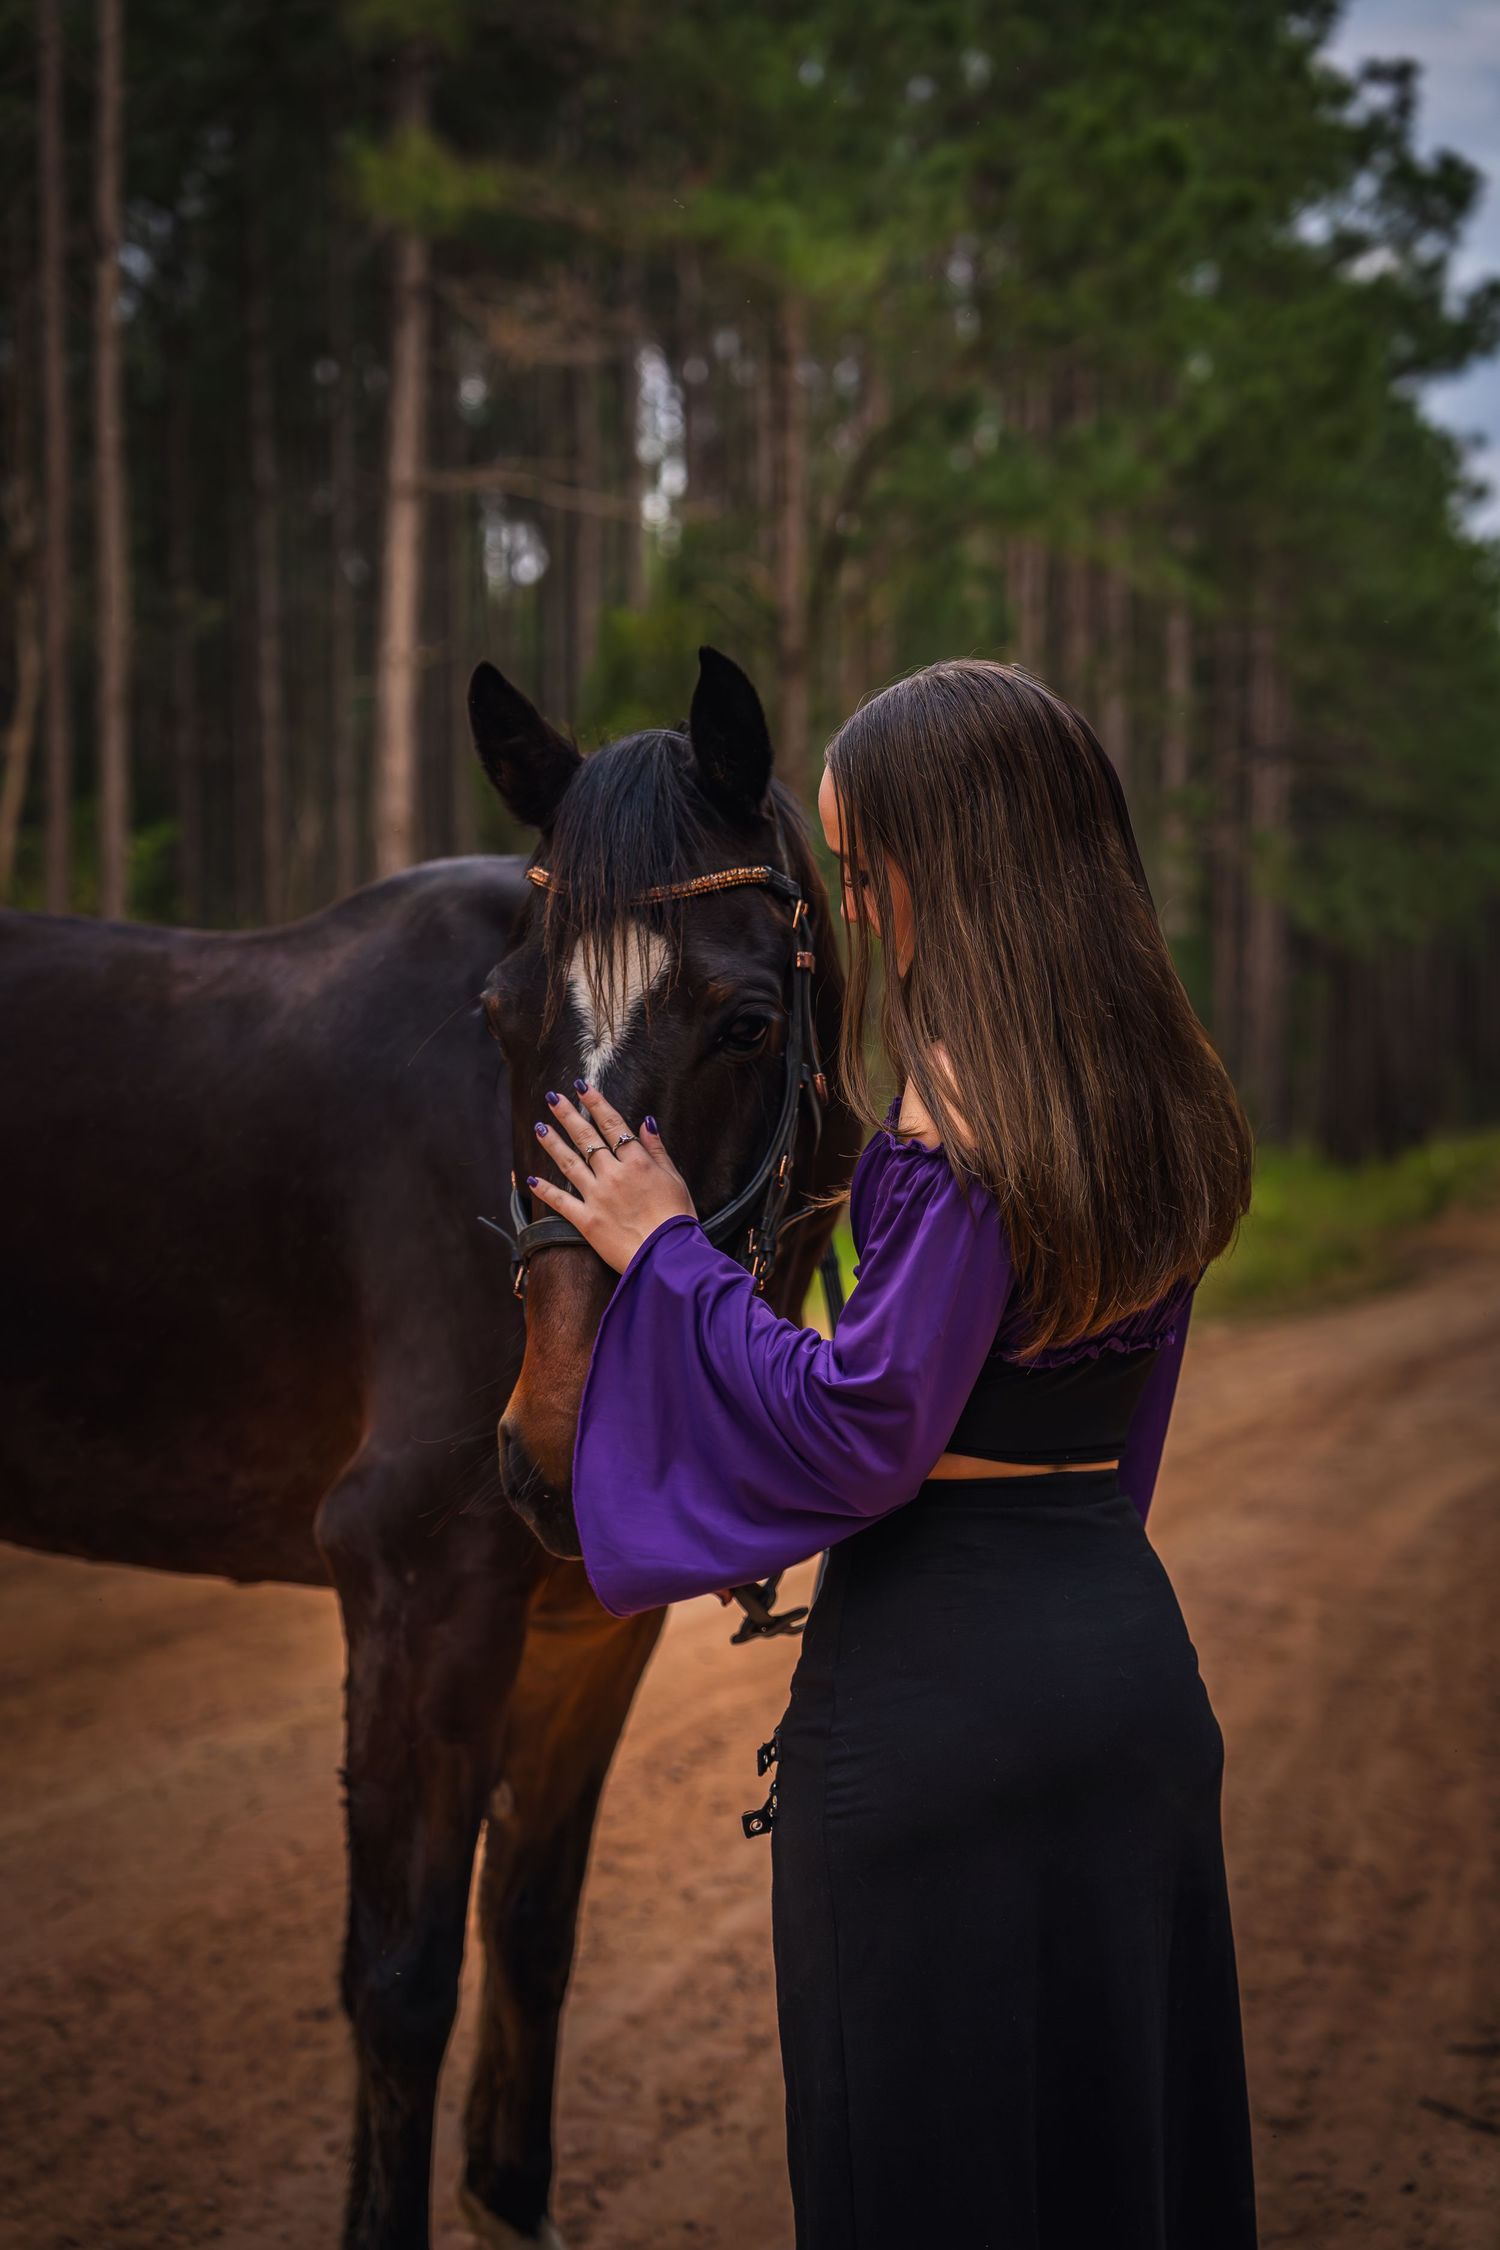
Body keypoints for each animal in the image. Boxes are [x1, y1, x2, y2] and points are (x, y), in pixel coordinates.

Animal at [0, 647, 859, 2250]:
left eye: (746, 1022)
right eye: (502, 1022)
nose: (563, 1444)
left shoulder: (586, 1631)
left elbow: (530, 1932)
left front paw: (508, 2198)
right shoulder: (418, 1593)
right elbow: (399, 1986)